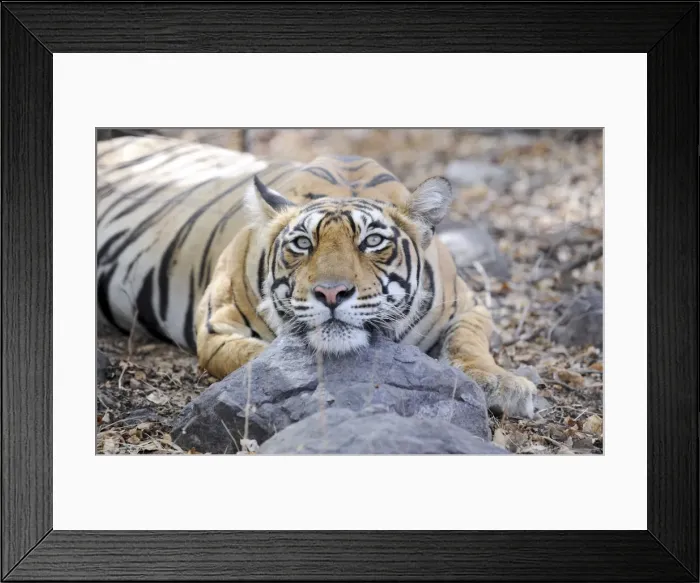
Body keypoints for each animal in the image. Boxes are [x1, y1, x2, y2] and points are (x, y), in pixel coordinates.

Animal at [97, 134, 537, 419]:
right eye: (303, 243)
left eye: (372, 241)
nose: (331, 293)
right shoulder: (216, 328)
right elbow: (258, 360)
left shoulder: (471, 306)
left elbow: (468, 344)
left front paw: (507, 386)